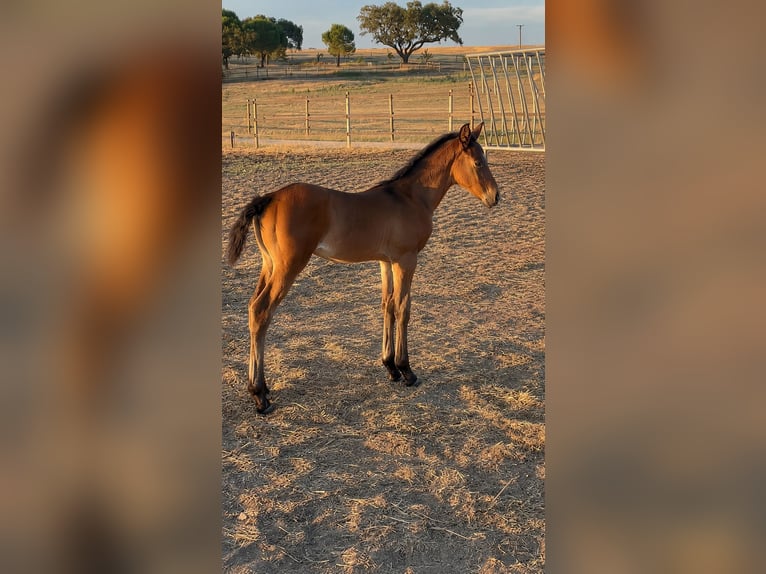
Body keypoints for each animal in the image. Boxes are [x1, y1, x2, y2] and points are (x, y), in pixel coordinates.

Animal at [228, 122, 500, 414]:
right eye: (478, 162)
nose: (496, 196)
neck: (410, 197)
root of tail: (268, 198)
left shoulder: (386, 262)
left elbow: (387, 305)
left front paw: (390, 367)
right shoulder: (406, 259)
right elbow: (403, 308)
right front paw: (407, 370)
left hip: (269, 265)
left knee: (252, 307)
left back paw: (260, 388)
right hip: (288, 267)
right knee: (261, 311)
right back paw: (259, 395)